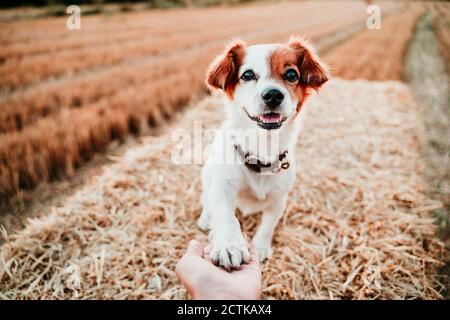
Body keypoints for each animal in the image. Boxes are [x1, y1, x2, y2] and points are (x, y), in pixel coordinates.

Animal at [199, 35, 328, 270]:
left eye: (291, 74)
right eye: (247, 75)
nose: (273, 95)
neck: (262, 148)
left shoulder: (279, 198)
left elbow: (268, 224)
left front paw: (259, 247)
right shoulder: (223, 187)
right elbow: (226, 216)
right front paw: (229, 244)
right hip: (207, 174)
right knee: (206, 197)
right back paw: (205, 218)